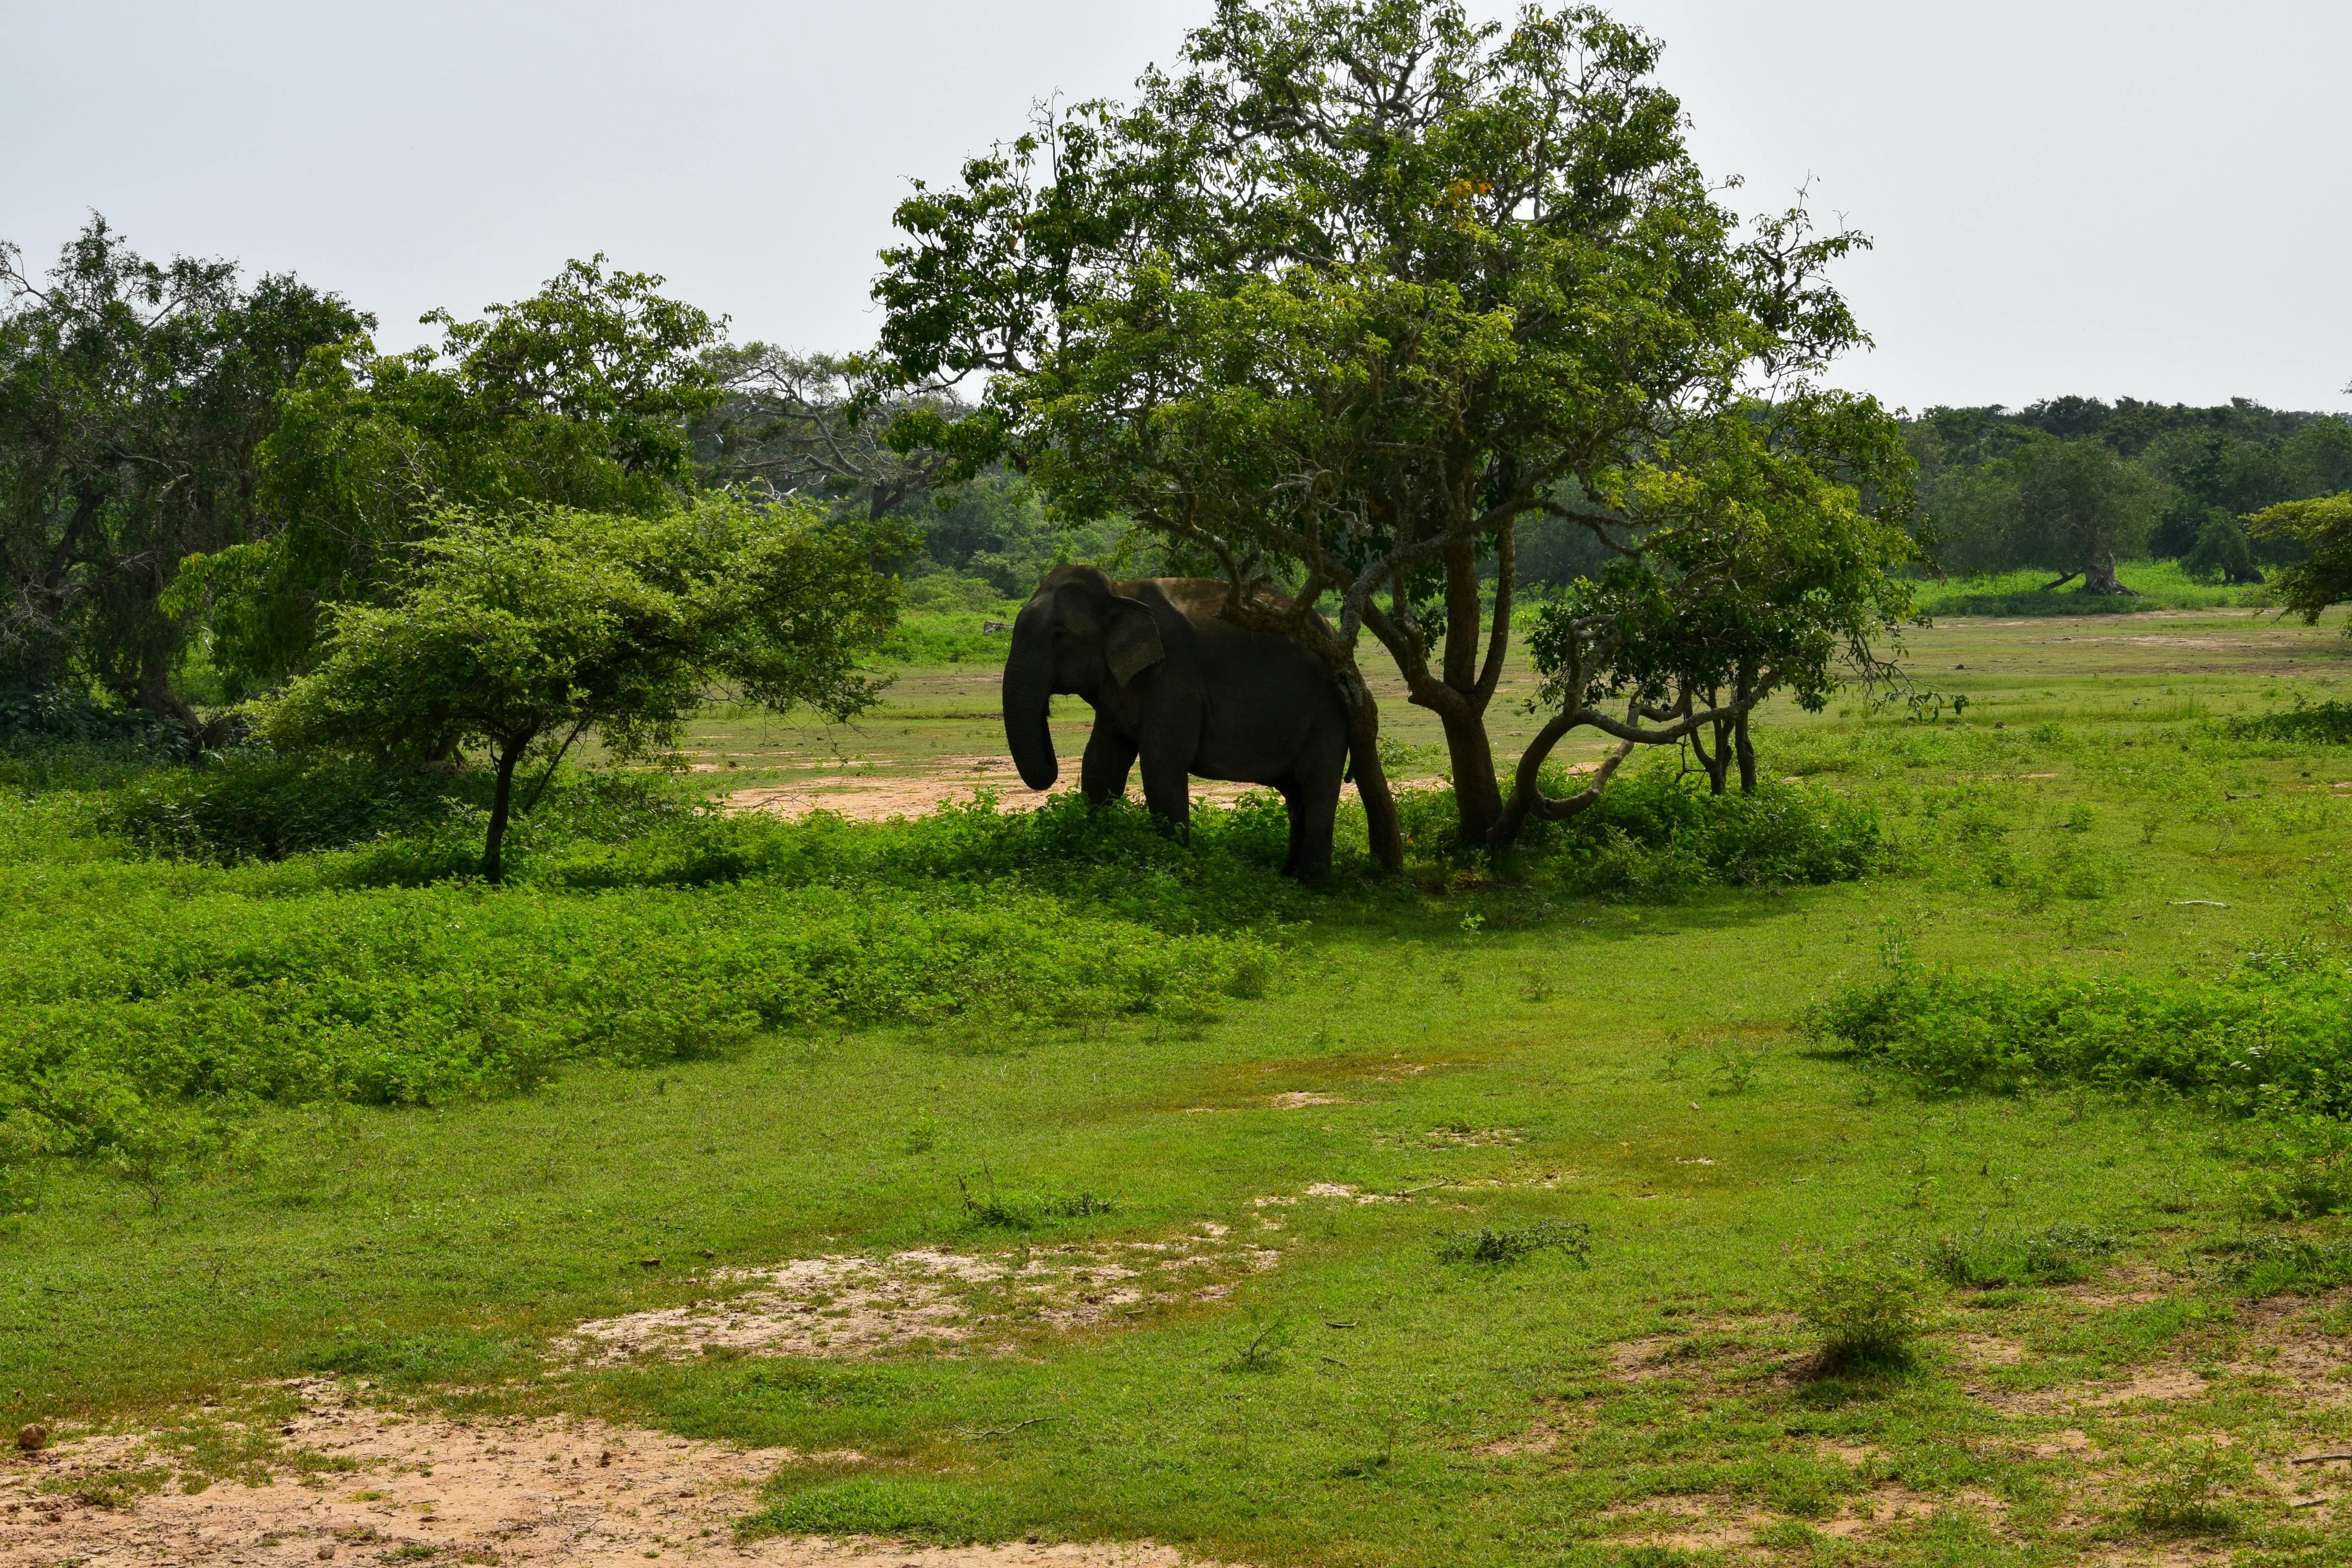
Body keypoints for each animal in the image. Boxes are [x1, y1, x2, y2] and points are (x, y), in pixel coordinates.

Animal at [1001, 564, 1352, 881]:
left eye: (1059, 635)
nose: (1047, 709)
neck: (1120, 592)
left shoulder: (1175, 681)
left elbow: (1162, 763)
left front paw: (1172, 866)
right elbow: (1101, 762)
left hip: (1329, 711)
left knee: (1317, 785)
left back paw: (1310, 883)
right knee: (1297, 793)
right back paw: (1288, 876)